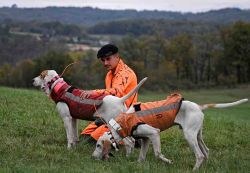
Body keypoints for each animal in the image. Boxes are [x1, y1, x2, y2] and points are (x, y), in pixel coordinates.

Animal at [92, 94, 248, 170]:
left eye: (98, 145)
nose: (92, 157)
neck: (122, 123)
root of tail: (198, 106)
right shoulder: (146, 139)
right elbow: (141, 157)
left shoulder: (154, 133)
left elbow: (157, 153)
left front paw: (168, 162)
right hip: (197, 135)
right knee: (206, 152)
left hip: (189, 136)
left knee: (199, 155)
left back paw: (194, 169)